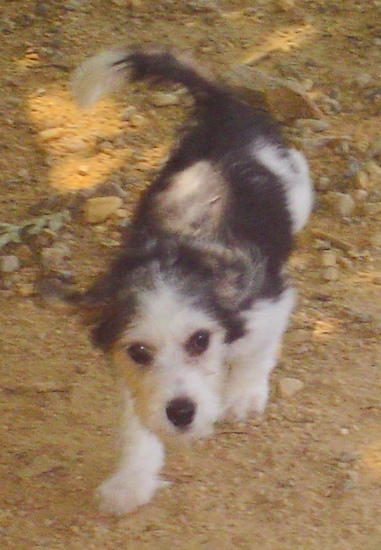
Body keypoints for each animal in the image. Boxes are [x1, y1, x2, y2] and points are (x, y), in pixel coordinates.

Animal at [70, 45, 312, 516]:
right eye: (139, 352)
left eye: (200, 341)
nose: (181, 413)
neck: (178, 249)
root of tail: (224, 107)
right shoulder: (132, 370)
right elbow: (138, 419)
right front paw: (131, 480)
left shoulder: (270, 302)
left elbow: (257, 352)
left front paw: (243, 394)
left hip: (296, 181)